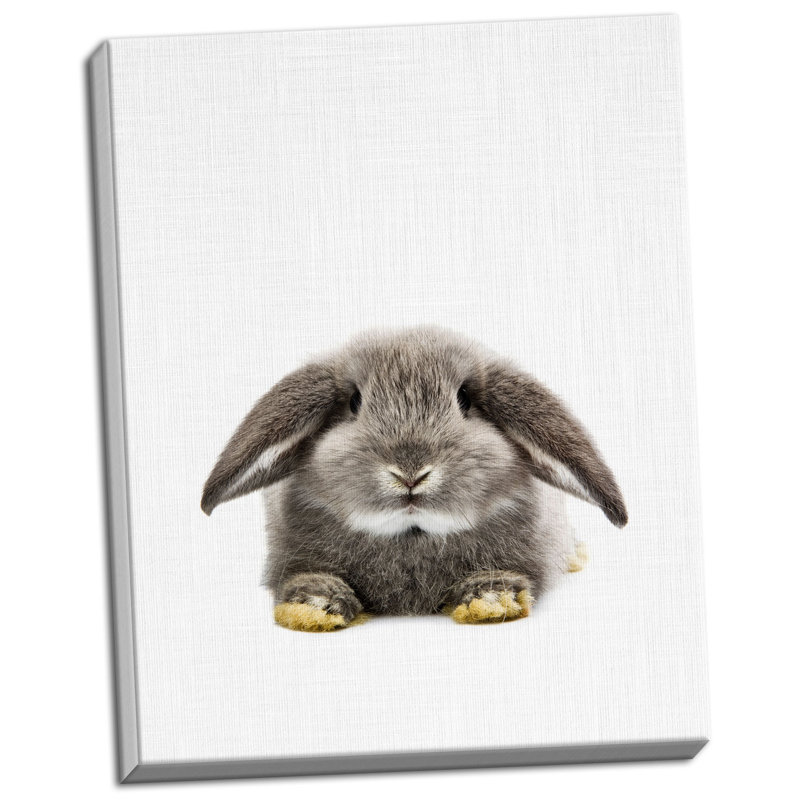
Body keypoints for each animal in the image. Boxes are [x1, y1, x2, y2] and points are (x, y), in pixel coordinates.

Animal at [201, 327, 627, 631]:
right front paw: (314, 606)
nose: (410, 473)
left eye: (465, 399)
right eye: (355, 402)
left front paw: (490, 599)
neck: (411, 537)